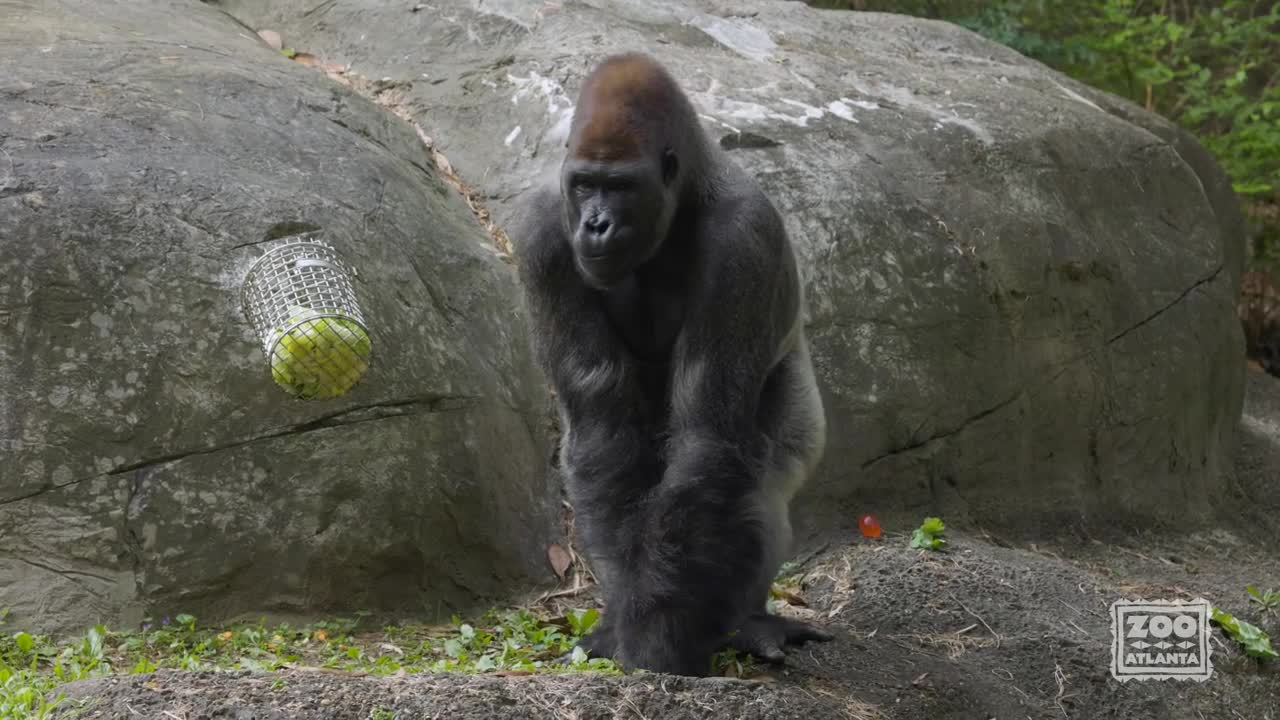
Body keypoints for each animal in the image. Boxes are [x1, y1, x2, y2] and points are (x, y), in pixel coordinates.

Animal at [509, 53, 829, 676]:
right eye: (584, 184)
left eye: (621, 186)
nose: (596, 224)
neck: (686, 194)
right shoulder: (541, 234)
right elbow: (602, 427)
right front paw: (624, 627)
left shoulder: (744, 238)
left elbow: (707, 436)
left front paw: (656, 640)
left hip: (804, 415)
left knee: (757, 485)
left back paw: (746, 621)